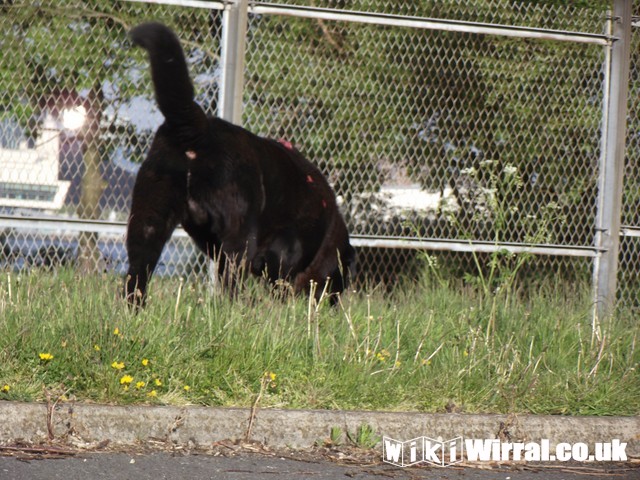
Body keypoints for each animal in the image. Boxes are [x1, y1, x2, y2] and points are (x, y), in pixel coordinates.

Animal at [123, 22, 358, 306]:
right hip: (239, 233)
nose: (333, 304)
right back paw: (233, 306)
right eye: (340, 281)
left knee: (137, 274)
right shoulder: (286, 248)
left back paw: (134, 308)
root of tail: (198, 127)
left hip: (149, 220)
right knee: (232, 278)